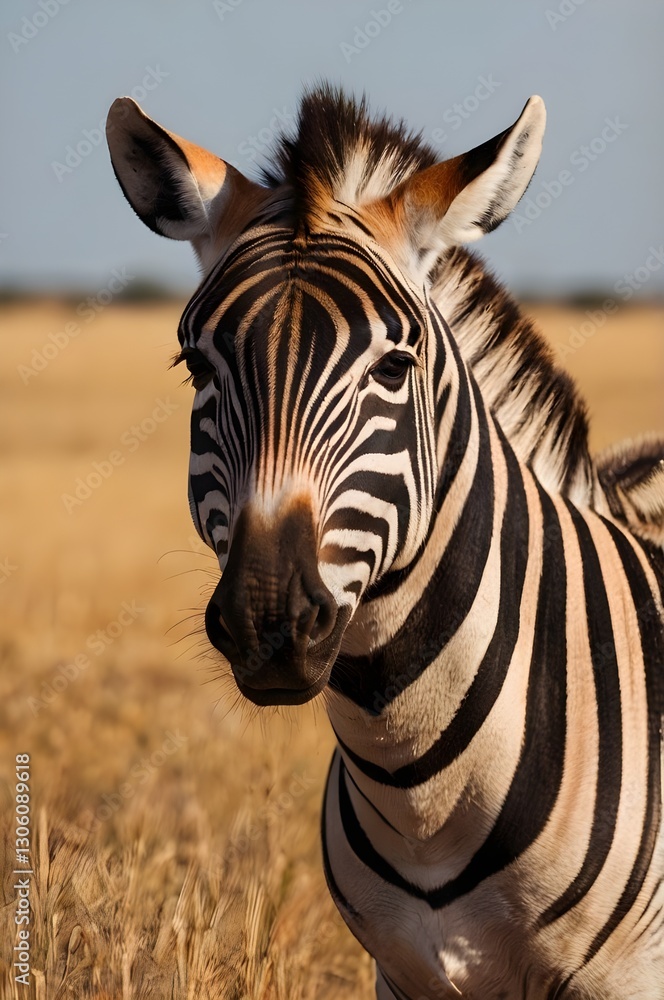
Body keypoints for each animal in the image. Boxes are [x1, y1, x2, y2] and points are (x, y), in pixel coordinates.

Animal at [106, 85, 664, 999]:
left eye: (394, 369)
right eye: (197, 369)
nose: (269, 624)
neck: (422, 794)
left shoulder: (626, 976)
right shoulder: (403, 975)